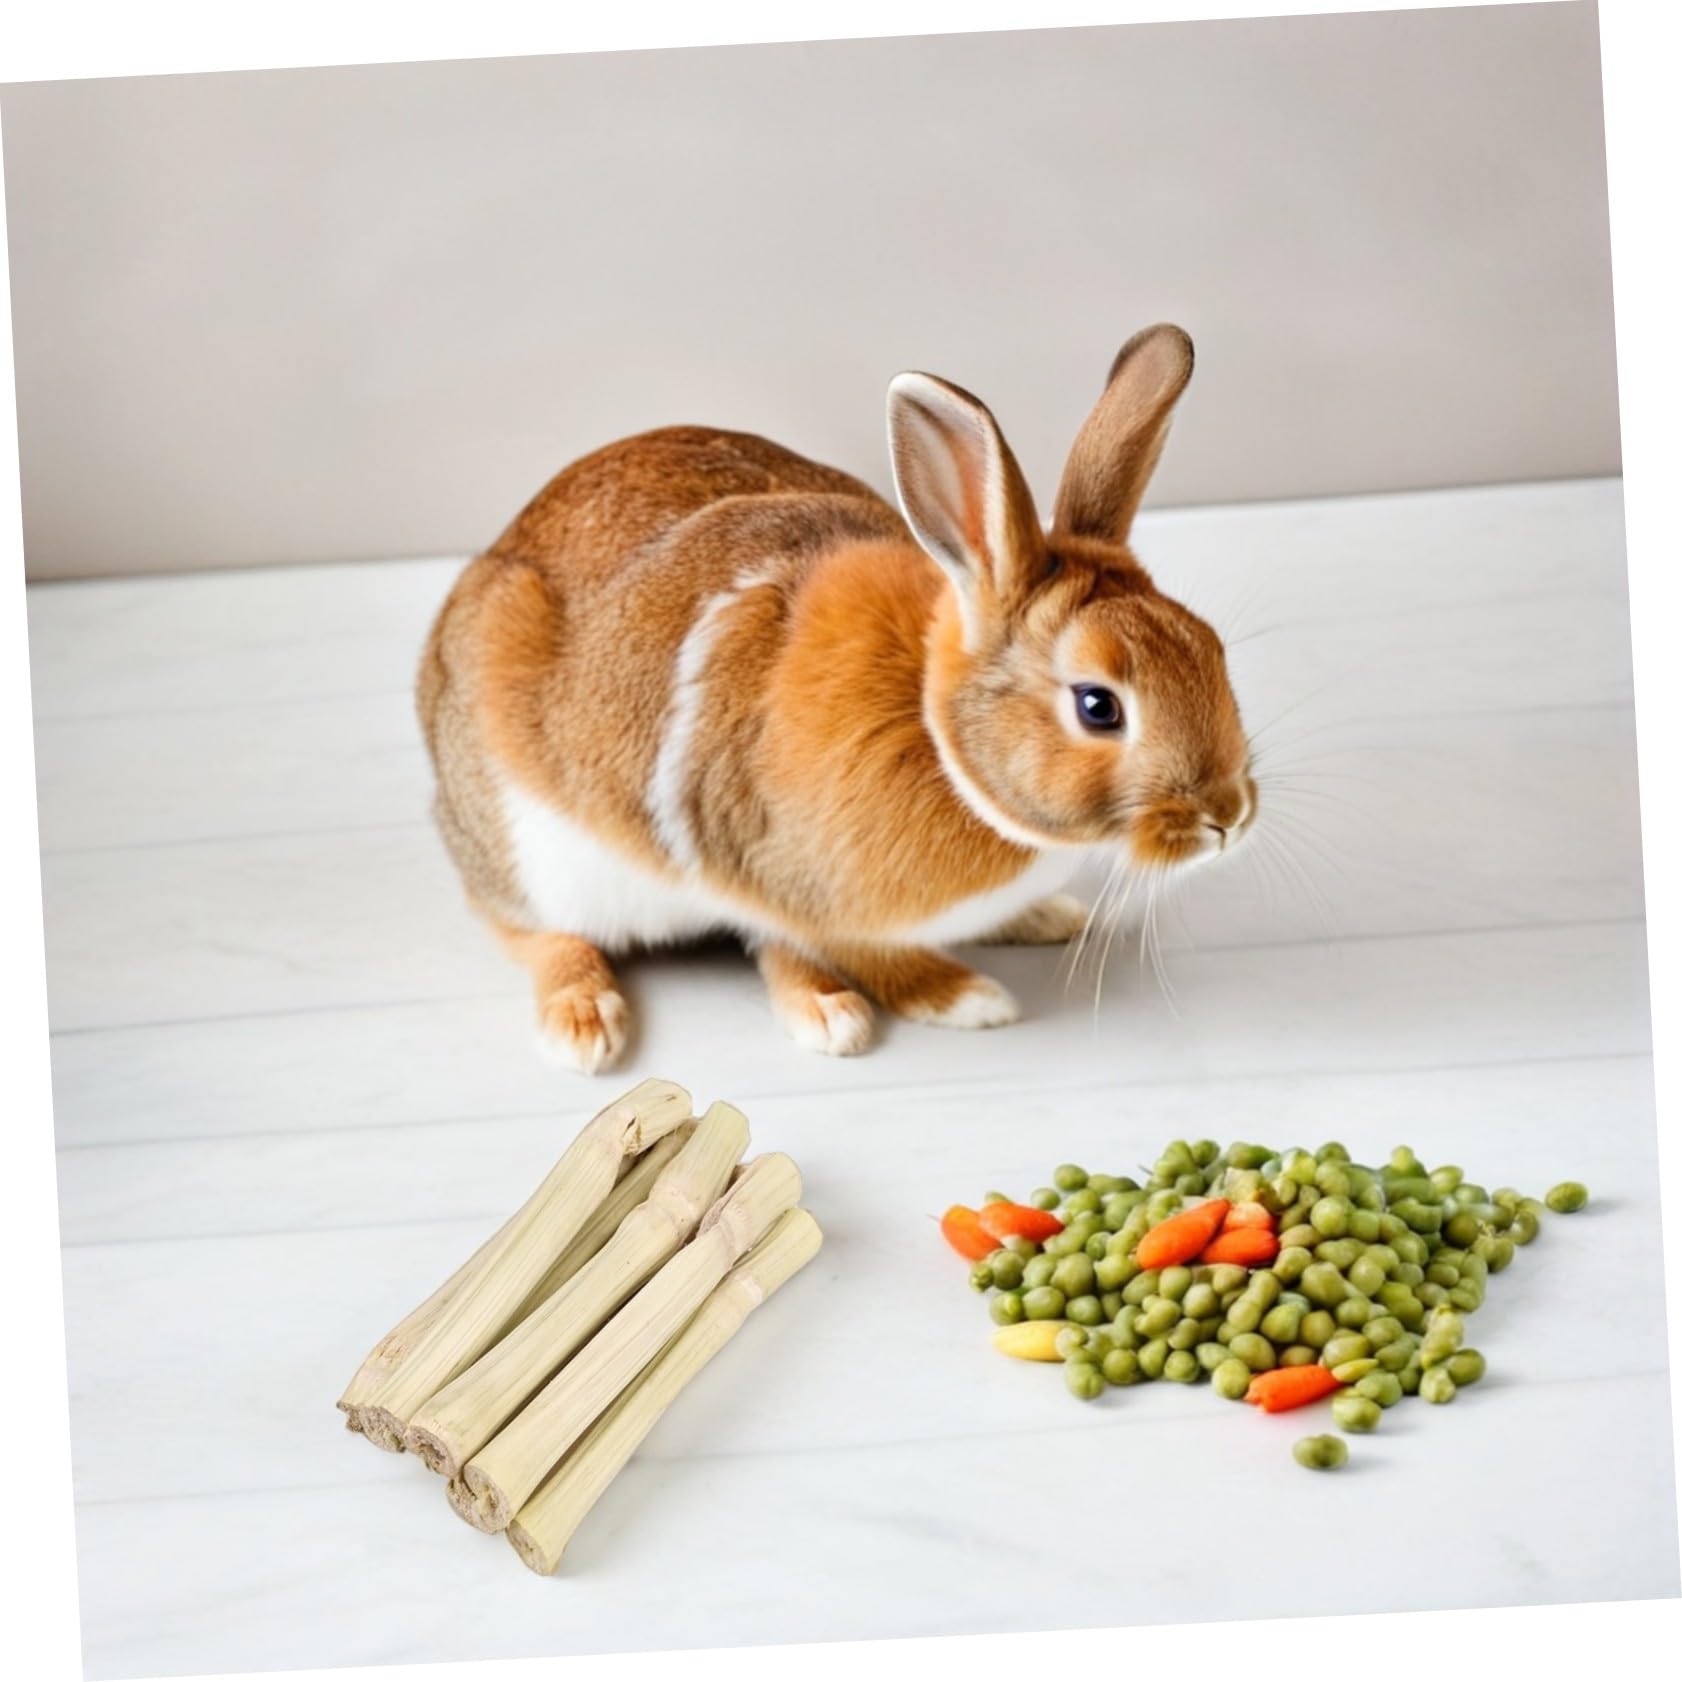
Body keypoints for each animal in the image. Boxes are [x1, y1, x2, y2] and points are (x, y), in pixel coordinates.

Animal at [417, 323, 1255, 1071]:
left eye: (1209, 646)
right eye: (1098, 706)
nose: (1229, 817)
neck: (936, 733)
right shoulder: (765, 871)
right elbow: (827, 950)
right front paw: (934, 1003)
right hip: (526, 851)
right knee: (523, 928)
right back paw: (584, 1025)